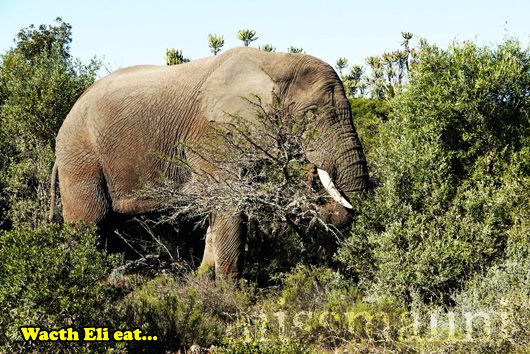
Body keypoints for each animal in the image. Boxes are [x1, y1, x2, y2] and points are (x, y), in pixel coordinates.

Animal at [49, 47, 368, 278]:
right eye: (311, 114)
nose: (312, 170)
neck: (276, 62)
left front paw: (204, 278)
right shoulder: (213, 134)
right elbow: (229, 205)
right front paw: (233, 294)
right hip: (80, 153)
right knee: (91, 222)